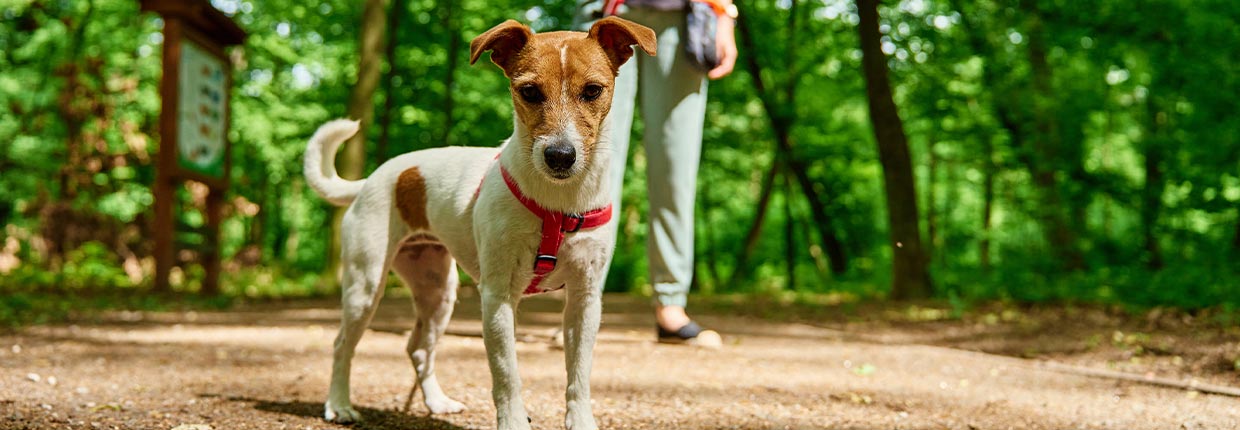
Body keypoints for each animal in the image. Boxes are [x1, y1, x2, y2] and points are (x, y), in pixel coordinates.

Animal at [301, 16, 659, 430]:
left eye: (592, 90)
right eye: (530, 91)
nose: (560, 155)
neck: (558, 202)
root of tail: (372, 180)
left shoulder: (585, 300)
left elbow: (579, 375)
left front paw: (581, 420)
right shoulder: (498, 297)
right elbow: (507, 374)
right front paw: (514, 421)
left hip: (437, 292)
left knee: (419, 348)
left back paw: (436, 402)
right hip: (366, 285)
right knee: (343, 344)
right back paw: (339, 404)